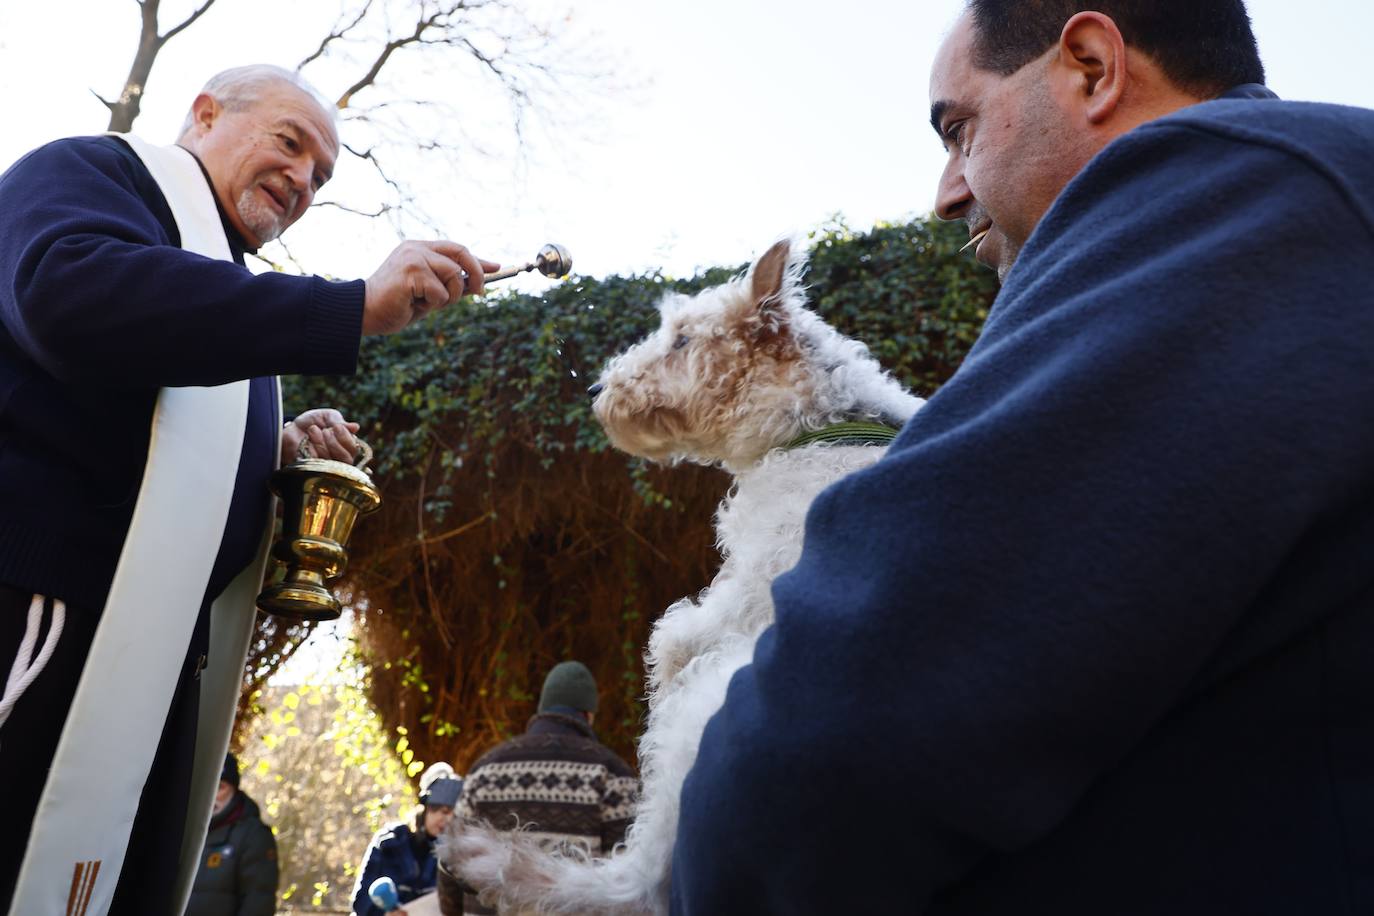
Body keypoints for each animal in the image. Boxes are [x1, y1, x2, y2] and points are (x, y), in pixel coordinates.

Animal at [442, 240, 923, 911]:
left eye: (682, 339)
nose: (599, 387)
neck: (814, 427)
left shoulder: (743, 598)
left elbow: (668, 643)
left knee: (631, 881)